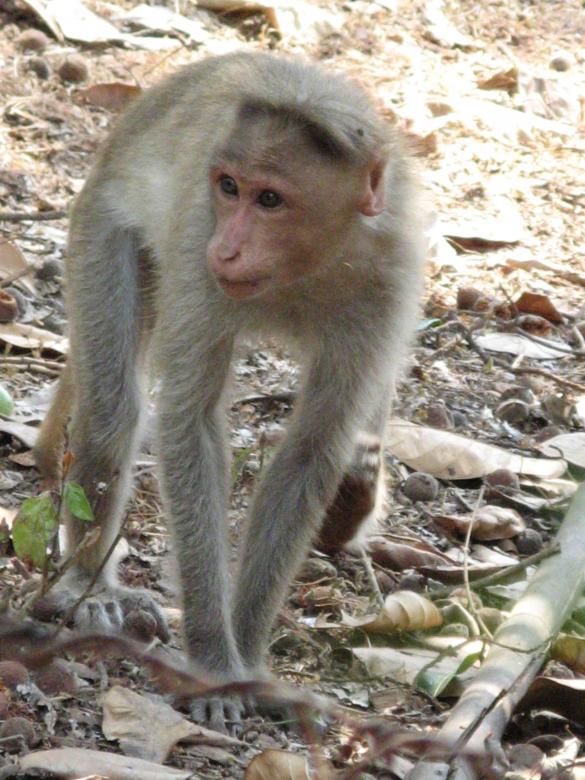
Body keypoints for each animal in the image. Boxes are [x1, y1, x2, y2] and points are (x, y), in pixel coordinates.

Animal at [33, 51, 426, 732]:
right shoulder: (197, 235)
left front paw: (248, 658)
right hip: (101, 222)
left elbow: (310, 449)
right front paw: (217, 663)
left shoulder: (390, 277)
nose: (230, 245)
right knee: (112, 410)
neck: (307, 263)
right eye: (228, 187)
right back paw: (89, 586)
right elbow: (190, 422)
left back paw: (356, 492)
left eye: (270, 199)